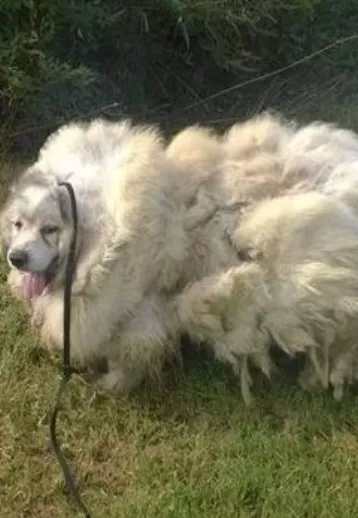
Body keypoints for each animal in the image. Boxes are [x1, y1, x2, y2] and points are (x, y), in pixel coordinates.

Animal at [2, 112, 358, 398]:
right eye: (18, 224)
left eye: (50, 228)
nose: (16, 258)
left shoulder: (141, 313)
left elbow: (130, 351)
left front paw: (115, 383)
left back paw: (320, 378)